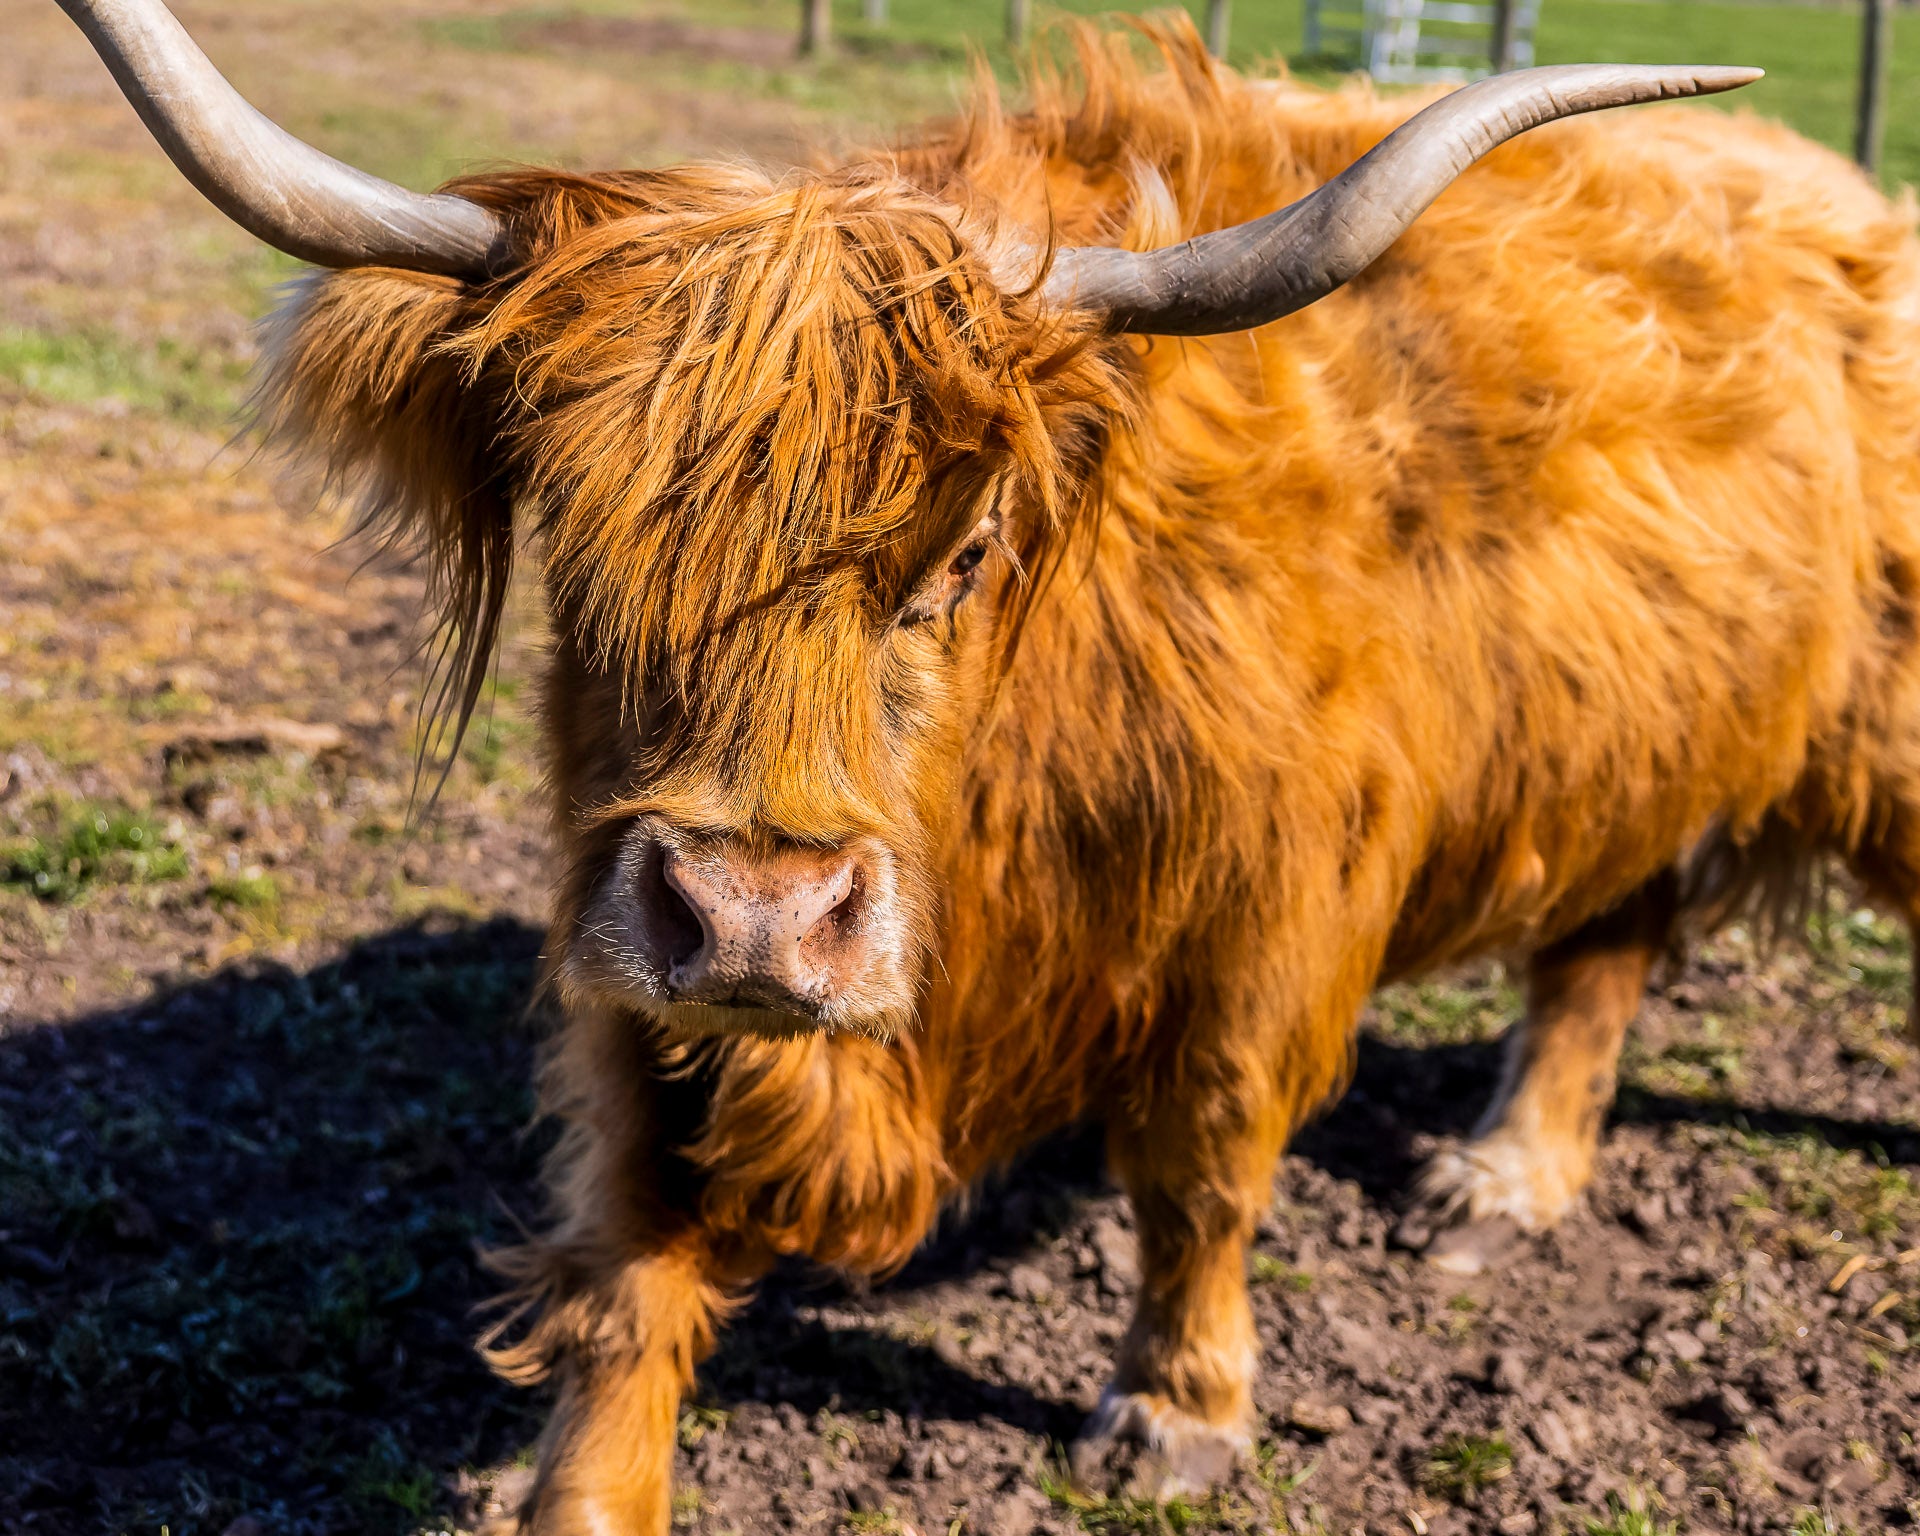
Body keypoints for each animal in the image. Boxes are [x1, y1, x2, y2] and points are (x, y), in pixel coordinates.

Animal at [58, 0, 1920, 1528]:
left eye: (958, 556)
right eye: (579, 542)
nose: (760, 915)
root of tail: (1831, 188)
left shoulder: (1268, 915)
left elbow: (1201, 1168)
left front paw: (1178, 1411)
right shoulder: (635, 963)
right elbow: (630, 1247)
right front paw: (585, 1494)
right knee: (1606, 944)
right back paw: (1508, 1175)